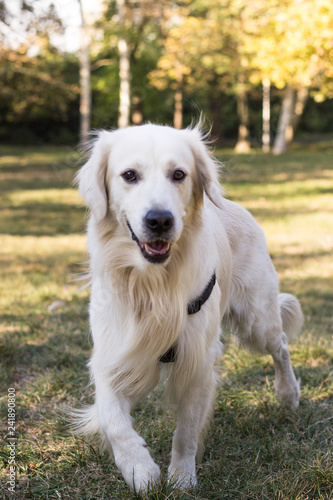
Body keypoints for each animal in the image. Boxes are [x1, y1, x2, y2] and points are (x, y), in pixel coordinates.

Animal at [74, 122, 302, 492]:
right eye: (129, 175)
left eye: (178, 174)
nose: (159, 220)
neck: (154, 285)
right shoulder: (113, 353)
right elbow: (112, 420)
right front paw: (138, 468)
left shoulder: (198, 360)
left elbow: (187, 429)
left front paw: (181, 476)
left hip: (257, 319)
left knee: (280, 345)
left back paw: (288, 393)